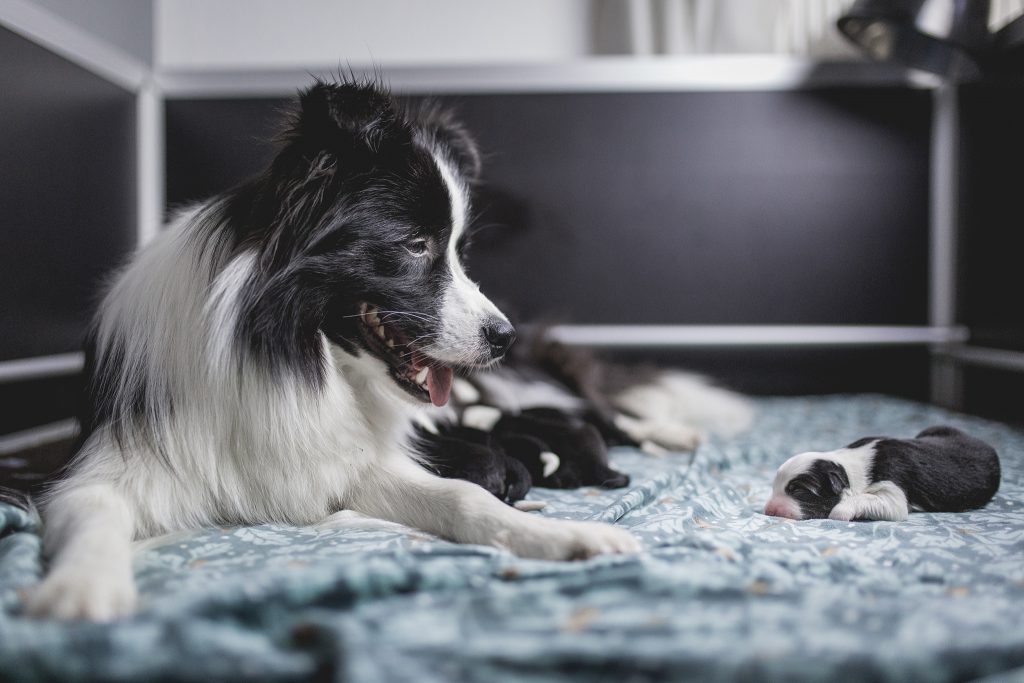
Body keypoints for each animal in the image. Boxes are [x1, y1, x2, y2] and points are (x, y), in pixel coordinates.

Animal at [25, 81, 638, 626]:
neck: (286, 353)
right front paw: (82, 589)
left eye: (460, 253)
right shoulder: (104, 469)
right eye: (416, 244)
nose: (503, 336)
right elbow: (95, 515)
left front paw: (563, 535)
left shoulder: (346, 461)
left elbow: (463, 497)